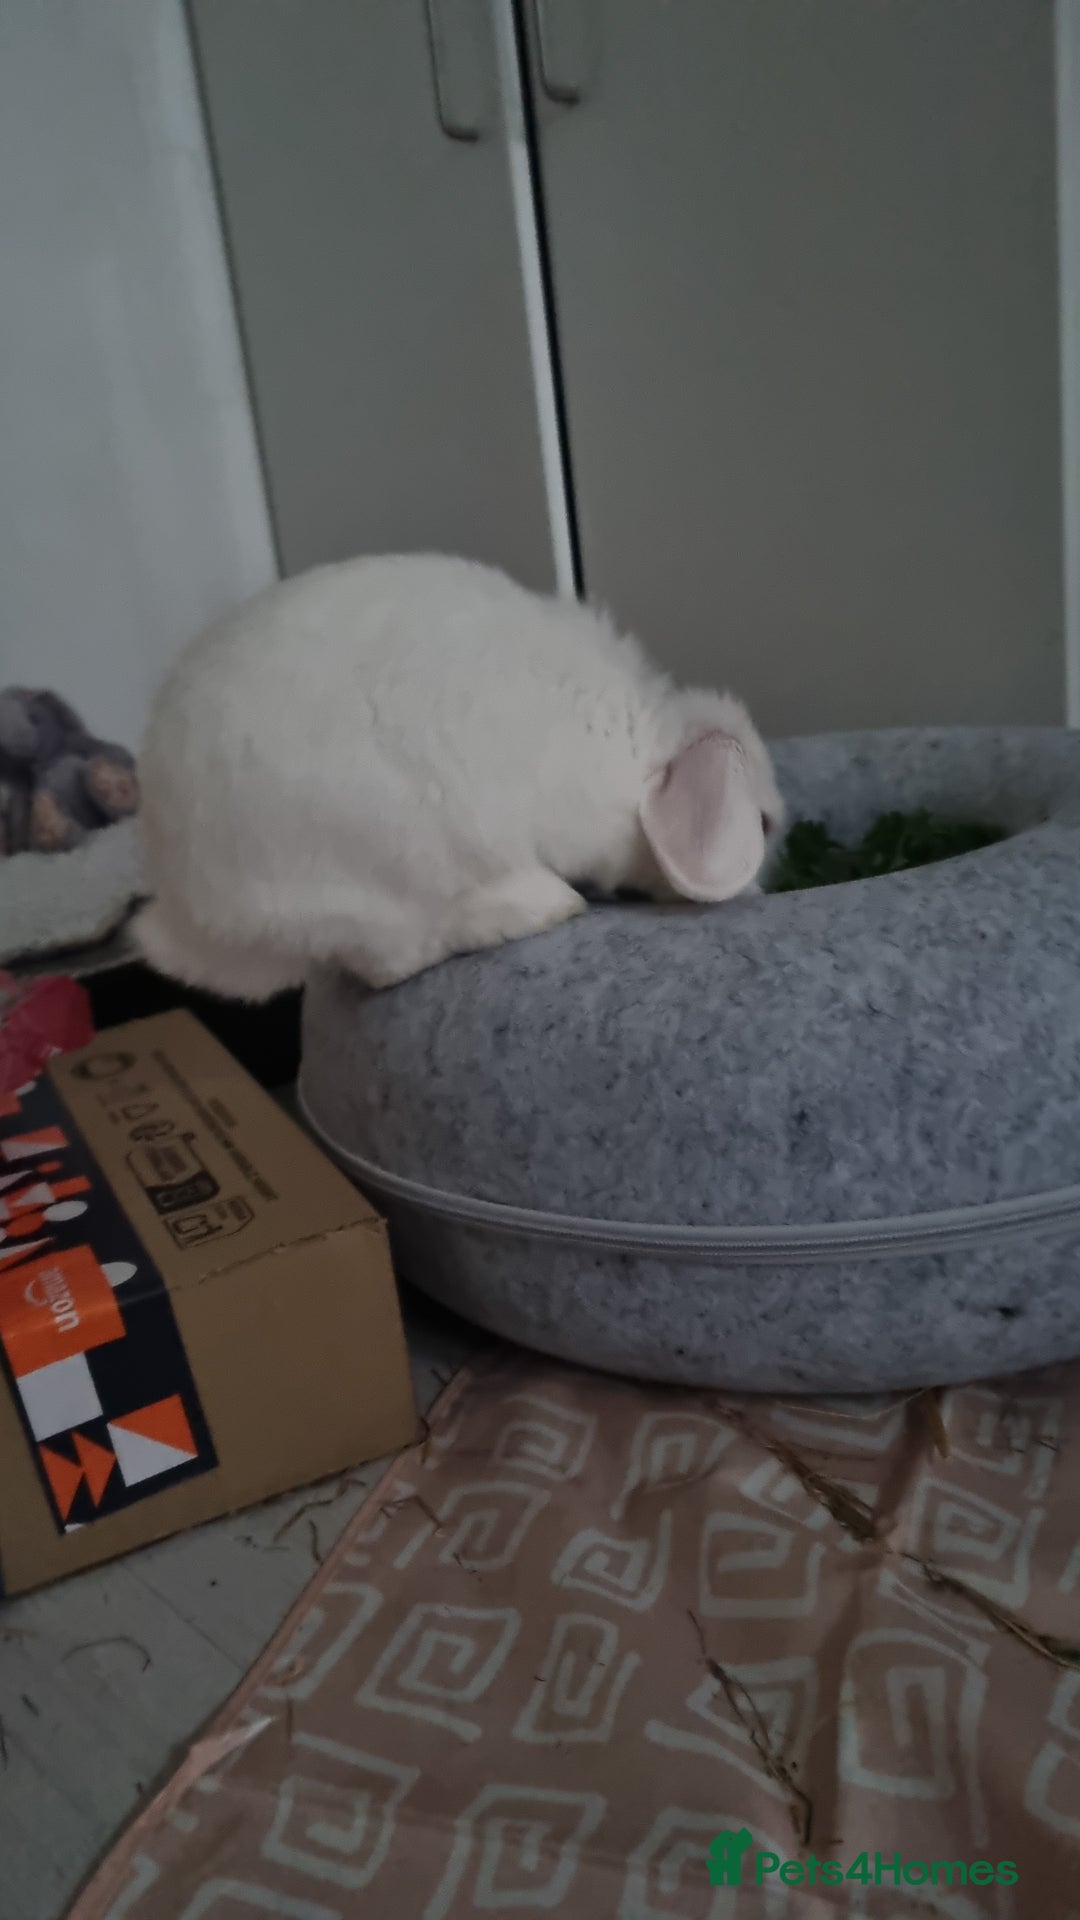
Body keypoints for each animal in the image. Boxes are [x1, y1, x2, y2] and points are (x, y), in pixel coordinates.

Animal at [133, 553, 783, 998]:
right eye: (765, 824)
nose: (760, 891)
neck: (637, 751)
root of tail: (190, 913)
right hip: (398, 861)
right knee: (395, 959)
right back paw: (547, 905)